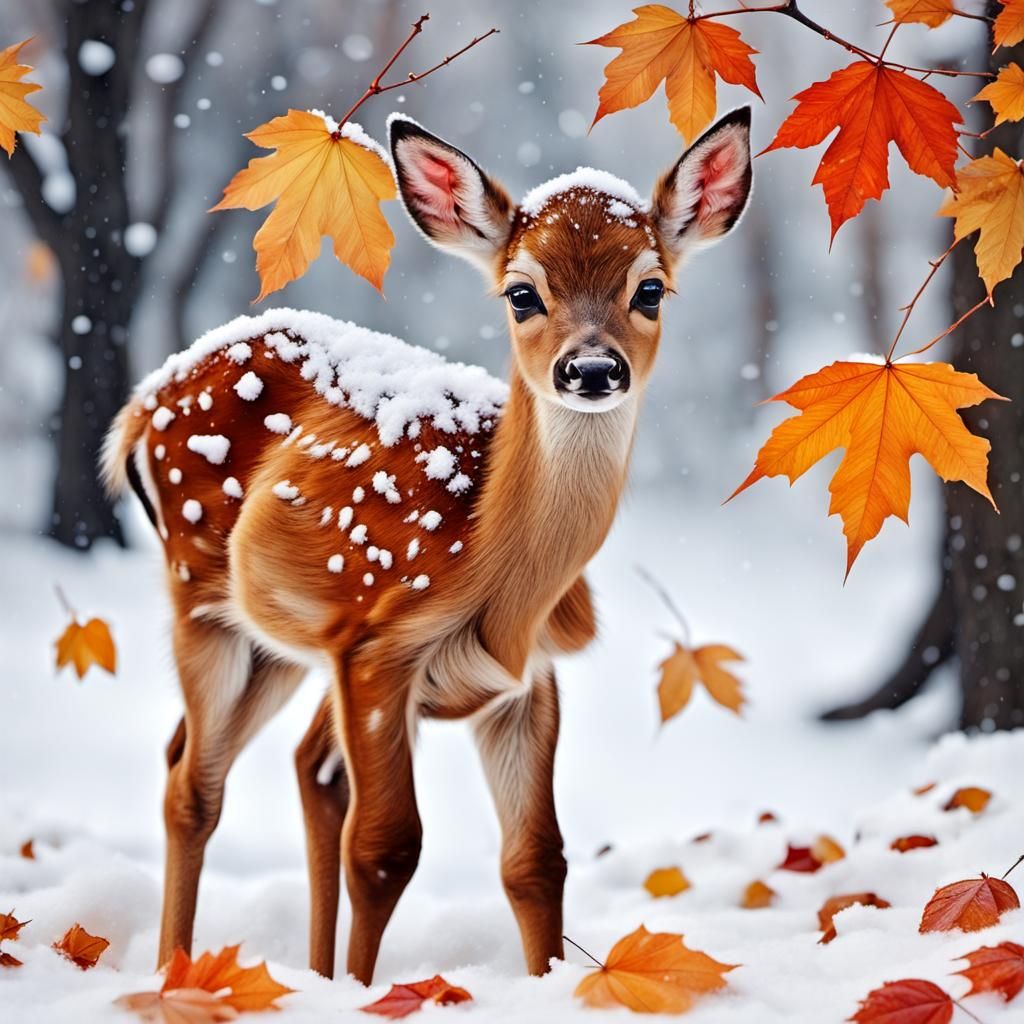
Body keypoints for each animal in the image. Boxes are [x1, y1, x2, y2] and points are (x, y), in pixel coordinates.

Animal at [101, 107, 753, 986]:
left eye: (649, 288)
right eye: (522, 293)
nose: (590, 368)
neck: (498, 582)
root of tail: (142, 403)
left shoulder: (524, 679)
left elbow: (536, 859)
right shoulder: (378, 650)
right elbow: (385, 850)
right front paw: (361, 990)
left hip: (284, 643)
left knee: (288, 766)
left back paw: (299, 971)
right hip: (198, 590)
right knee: (194, 788)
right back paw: (179, 974)